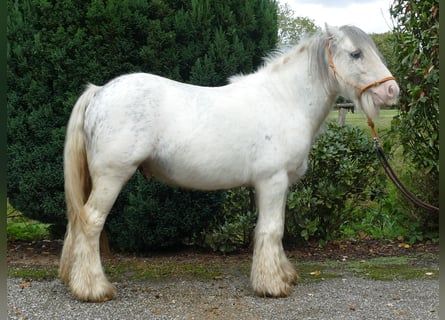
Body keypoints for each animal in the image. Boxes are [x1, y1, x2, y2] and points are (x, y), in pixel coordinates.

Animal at [58, 23, 398, 302]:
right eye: (356, 53)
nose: (392, 90)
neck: (285, 100)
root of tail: (99, 92)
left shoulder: (277, 185)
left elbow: (275, 228)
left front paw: (283, 274)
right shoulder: (272, 180)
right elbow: (271, 229)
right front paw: (272, 285)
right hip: (112, 177)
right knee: (91, 222)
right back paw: (93, 289)